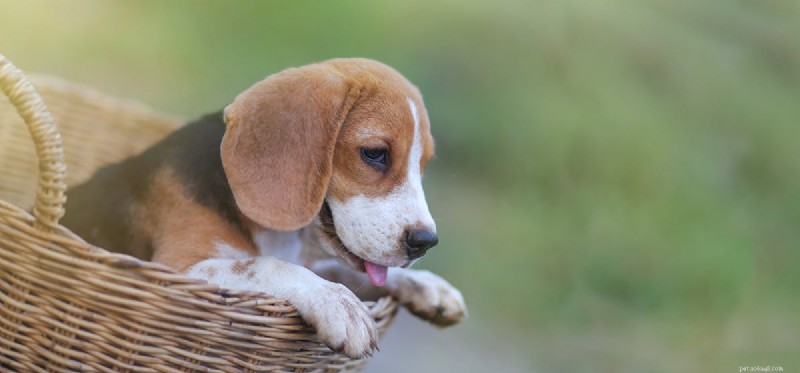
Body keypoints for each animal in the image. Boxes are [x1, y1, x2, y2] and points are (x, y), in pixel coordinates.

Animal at [65, 58, 472, 358]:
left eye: (423, 165)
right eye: (374, 153)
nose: (425, 242)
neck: (285, 236)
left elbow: (345, 273)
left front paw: (428, 286)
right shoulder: (180, 267)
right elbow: (265, 264)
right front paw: (338, 303)